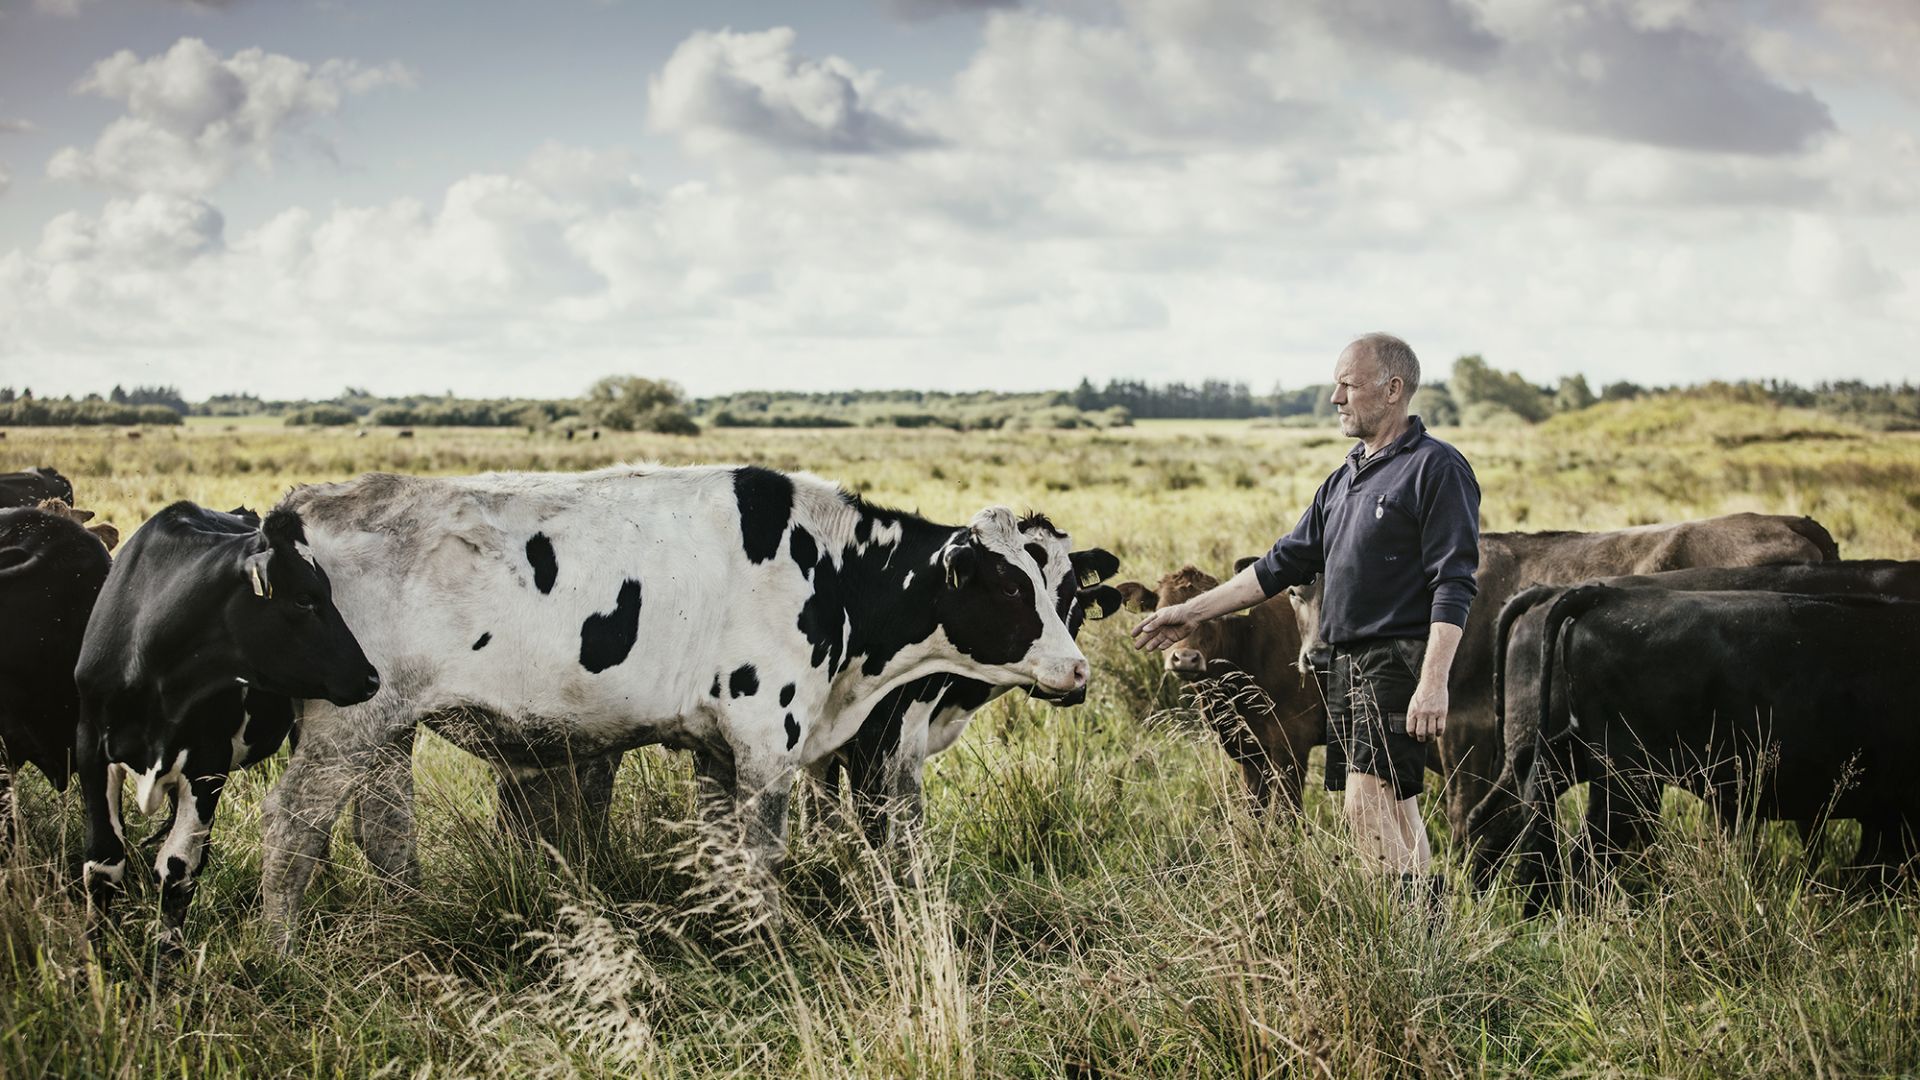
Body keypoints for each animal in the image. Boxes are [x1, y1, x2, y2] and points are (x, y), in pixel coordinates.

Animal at [73, 499, 378, 937]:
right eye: (304, 599)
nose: (370, 678)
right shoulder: (90, 746)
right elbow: (103, 864)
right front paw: (96, 951)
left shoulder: (207, 762)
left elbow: (177, 870)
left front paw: (166, 953)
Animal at [261, 463, 1090, 933]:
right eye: (1009, 585)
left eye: (1069, 592)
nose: (1077, 670)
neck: (832, 571)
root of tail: (303, 504)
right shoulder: (767, 735)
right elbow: (761, 852)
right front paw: (769, 938)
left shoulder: (719, 748)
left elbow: (722, 849)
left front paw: (730, 927)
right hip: (345, 727)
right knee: (294, 830)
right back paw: (283, 949)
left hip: (387, 730)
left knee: (385, 832)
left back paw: (409, 922)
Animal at [1121, 564, 1328, 807]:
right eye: (1161, 612)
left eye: (1214, 618)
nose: (1185, 658)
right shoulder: (1251, 752)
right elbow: (1254, 805)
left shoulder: (1293, 741)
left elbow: (1285, 810)